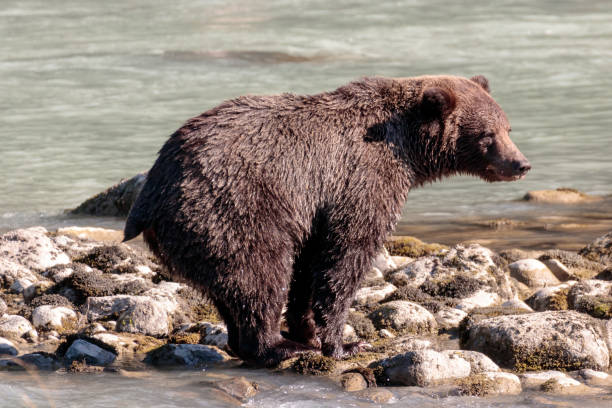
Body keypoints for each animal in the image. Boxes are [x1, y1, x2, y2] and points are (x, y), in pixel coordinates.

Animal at [123, 74, 532, 366]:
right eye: (487, 135)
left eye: (508, 127)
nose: (521, 163)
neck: (407, 148)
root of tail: (150, 196)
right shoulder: (359, 179)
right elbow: (344, 257)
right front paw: (342, 342)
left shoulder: (315, 210)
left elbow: (309, 267)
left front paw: (307, 330)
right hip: (232, 209)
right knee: (260, 274)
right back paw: (276, 346)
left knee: (233, 287)